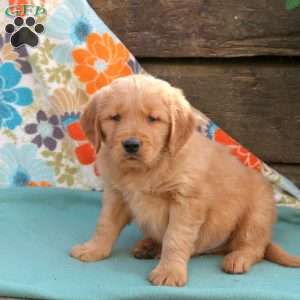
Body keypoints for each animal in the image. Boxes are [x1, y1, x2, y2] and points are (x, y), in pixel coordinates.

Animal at [71, 74, 300, 286]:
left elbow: (175, 238)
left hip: (257, 214)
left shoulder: (186, 202)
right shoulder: (116, 194)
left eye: (153, 119)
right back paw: (148, 246)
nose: (131, 145)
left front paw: (169, 272)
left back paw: (238, 258)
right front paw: (93, 249)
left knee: (254, 246)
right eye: (115, 117)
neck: (148, 168)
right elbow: (105, 224)